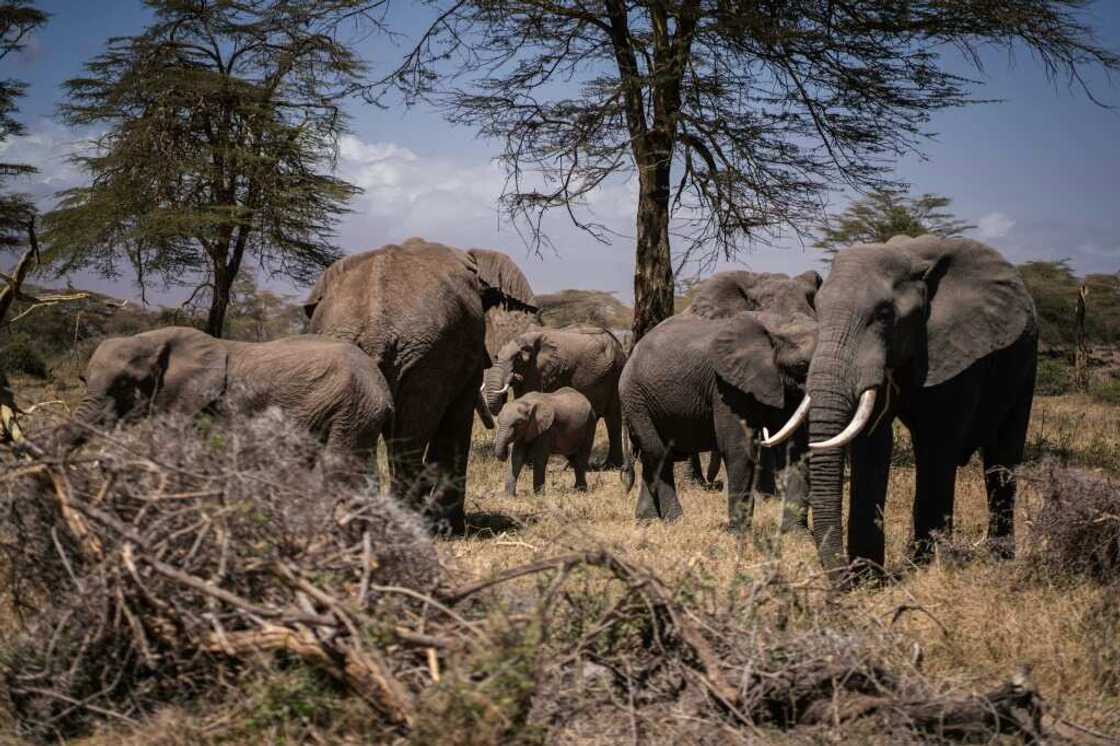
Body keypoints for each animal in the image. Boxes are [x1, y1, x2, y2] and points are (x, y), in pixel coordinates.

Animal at [479, 324, 627, 465]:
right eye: (496, 357)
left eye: (517, 359)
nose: (512, 377)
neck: (528, 340)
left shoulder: (545, 372)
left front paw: (529, 463)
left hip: (616, 373)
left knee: (613, 418)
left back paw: (609, 465)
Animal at [618, 309, 819, 528]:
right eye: (801, 366)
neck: (775, 323)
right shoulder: (725, 386)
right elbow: (738, 448)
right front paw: (739, 533)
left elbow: (794, 446)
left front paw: (796, 533)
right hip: (636, 399)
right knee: (660, 454)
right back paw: (676, 521)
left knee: (651, 457)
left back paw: (647, 521)